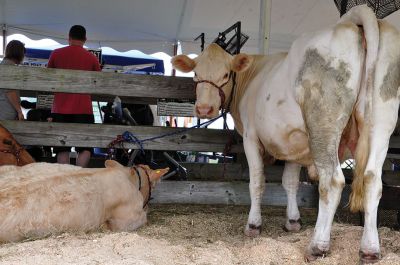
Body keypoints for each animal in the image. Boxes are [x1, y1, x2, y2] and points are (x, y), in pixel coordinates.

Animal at [171, 5, 400, 262]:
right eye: (195, 74)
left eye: (226, 74)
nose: (204, 109)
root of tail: (355, 23)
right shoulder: (294, 144)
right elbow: (290, 182)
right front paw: (293, 221)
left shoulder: (251, 137)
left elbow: (257, 181)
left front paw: (254, 225)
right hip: (382, 123)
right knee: (372, 180)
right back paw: (370, 249)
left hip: (323, 124)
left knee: (332, 181)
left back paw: (318, 245)